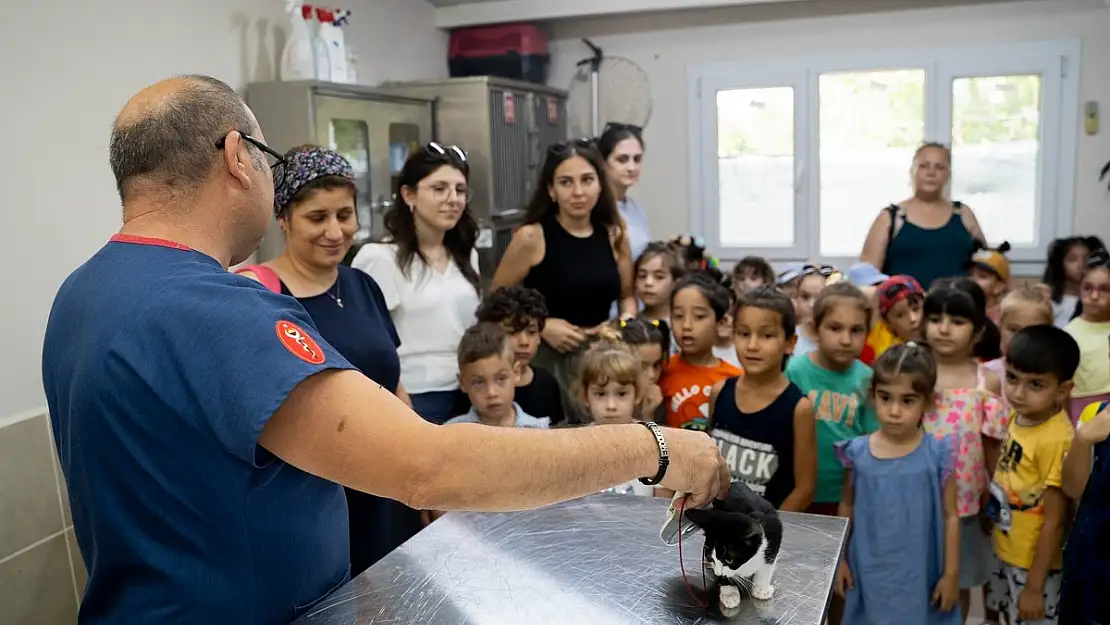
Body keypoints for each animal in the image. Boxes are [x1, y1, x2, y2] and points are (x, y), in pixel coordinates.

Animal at [683, 484, 781, 612]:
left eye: (729, 560)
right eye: (710, 557)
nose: (718, 573)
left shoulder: (774, 536)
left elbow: (767, 566)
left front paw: (761, 588)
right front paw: (729, 594)